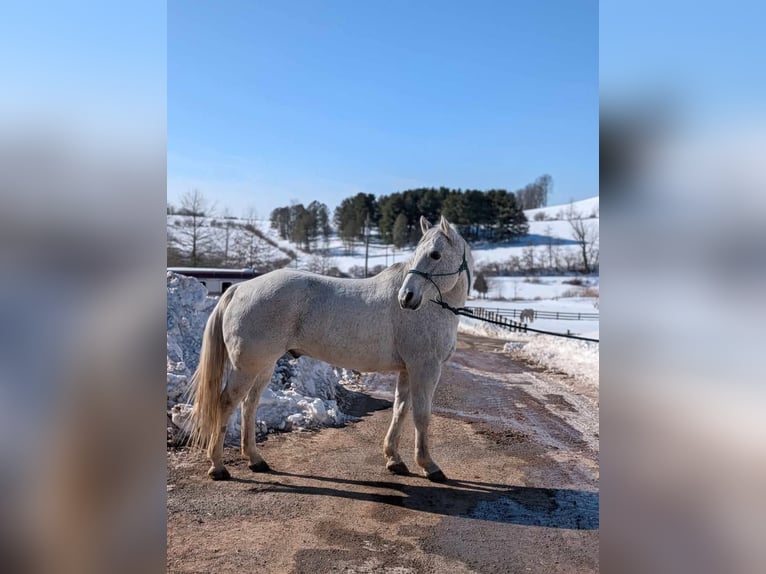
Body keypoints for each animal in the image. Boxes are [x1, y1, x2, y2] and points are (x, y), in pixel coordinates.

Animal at [189, 215, 474, 482]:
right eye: (421, 253)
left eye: (435, 254)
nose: (406, 298)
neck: (432, 306)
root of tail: (240, 288)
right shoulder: (425, 368)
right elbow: (422, 416)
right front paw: (429, 466)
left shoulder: (407, 370)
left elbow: (400, 411)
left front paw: (394, 460)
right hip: (246, 367)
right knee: (226, 403)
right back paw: (218, 466)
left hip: (263, 365)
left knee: (249, 405)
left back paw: (255, 460)